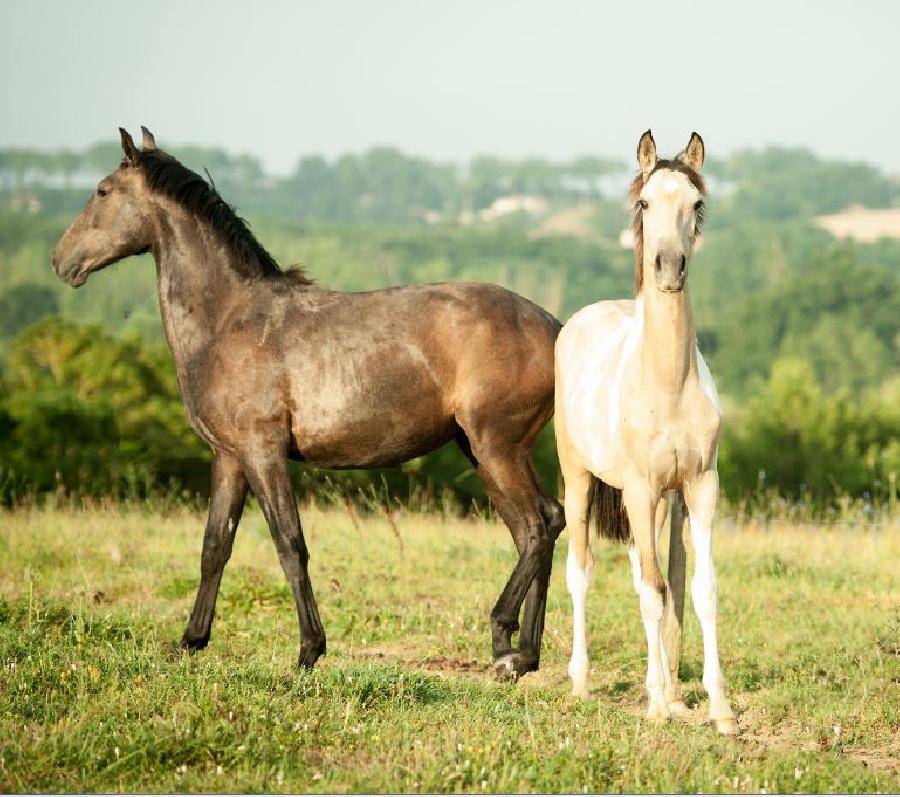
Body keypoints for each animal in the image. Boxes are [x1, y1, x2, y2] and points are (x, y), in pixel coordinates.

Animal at [51, 126, 564, 676]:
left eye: (102, 190)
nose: (61, 262)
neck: (228, 320)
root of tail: (553, 326)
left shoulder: (263, 453)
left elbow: (289, 543)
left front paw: (308, 650)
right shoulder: (229, 457)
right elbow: (215, 546)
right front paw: (190, 640)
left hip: (496, 447)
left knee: (536, 529)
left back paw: (506, 645)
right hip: (488, 450)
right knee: (544, 524)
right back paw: (524, 653)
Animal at [556, 131, 740, 732]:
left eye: (697, 204)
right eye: (643, 203)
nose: (668, 267)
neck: (666, 382)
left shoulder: (700, 487)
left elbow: (698, 590)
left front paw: (718, 708)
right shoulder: (637, 488)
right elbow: (654, 593)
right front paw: (659, 708)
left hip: (661, 503)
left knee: (648, 572)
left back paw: (665, 689)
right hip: (580, 478)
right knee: (584, 571)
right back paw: (582, 681)